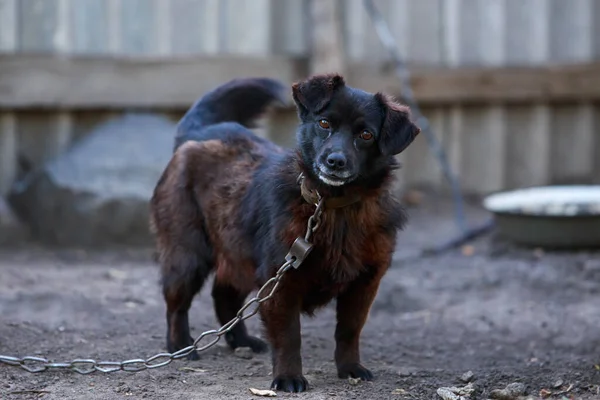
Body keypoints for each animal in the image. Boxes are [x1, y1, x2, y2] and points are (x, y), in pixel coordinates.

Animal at [150, 73, 420, 392]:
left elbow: (349, 331)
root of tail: (201, 132)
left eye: (366, 135)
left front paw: (350, 368)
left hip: (237, 251)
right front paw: (289, 377)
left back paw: (241, 341)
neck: (332, 207)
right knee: (176, 306)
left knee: (224, 295)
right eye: (324, 123)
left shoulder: (364, 283)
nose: (335, 161)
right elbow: (290, 336)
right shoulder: (281, 282)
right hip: (187, 257)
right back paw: (180, 346)